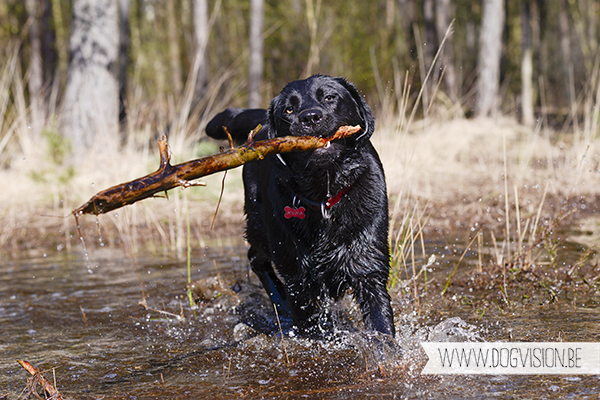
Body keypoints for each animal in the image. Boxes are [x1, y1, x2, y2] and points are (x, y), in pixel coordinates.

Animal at [204, 76, 396, 338]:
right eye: (288, 109)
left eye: (330, 97)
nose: (310, 117)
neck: (324, 195)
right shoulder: (298, 277)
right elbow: (310, 323)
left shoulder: (368, 264)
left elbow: (380, 324)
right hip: (262, 226)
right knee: (255, 257)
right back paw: (281, 303)